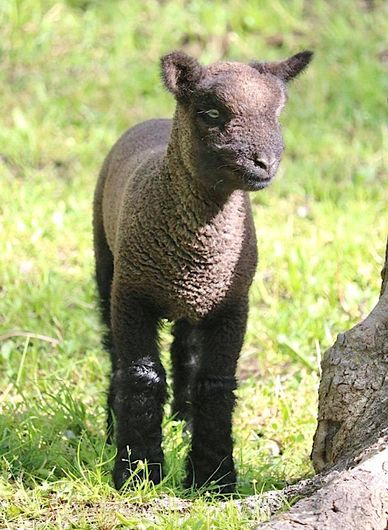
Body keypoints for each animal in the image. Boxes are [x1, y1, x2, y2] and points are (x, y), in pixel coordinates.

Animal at [93, 49, 312, 490]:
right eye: (210, 113)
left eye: (276, 113)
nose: (264, 163)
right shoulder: (132, 296)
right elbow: (140, 374)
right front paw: (137, 471)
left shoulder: (231, 303)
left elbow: (215, 382)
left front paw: (213, 478)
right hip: (106, 262)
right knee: (114, 351)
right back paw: (112, 426)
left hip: (199, 302)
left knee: (186, 349)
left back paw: (184, 420)